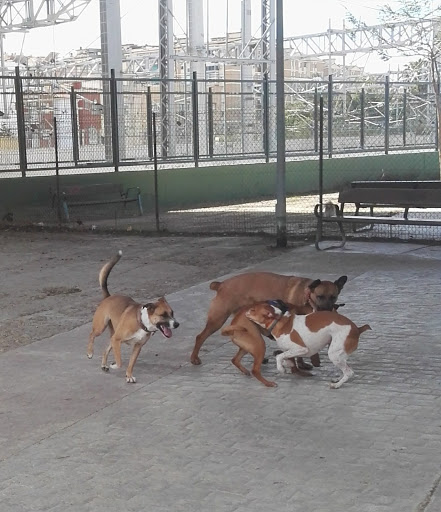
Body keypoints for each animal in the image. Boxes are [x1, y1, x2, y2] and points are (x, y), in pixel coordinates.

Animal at [86, 250, 179, 382]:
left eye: (172, 313)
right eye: (163, 315)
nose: (177, 324)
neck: (142, 322)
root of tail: (108, 296)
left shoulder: (137, 347)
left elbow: (131, 363)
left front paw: (129, 376)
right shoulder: (117, 340)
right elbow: (120, 362)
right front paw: (114, 365)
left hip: (112, 335)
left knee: (105, 349)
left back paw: (104, 364)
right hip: (101, 327)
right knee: (92, 334)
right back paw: (90, 352)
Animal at [190, 270, 348, 366]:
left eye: (333, 297)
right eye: (320, 296)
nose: (327, 310)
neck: (307, 296)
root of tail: (221, 284)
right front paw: (302, 364)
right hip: (218, 319)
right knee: (200, 337)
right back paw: (194, 358)